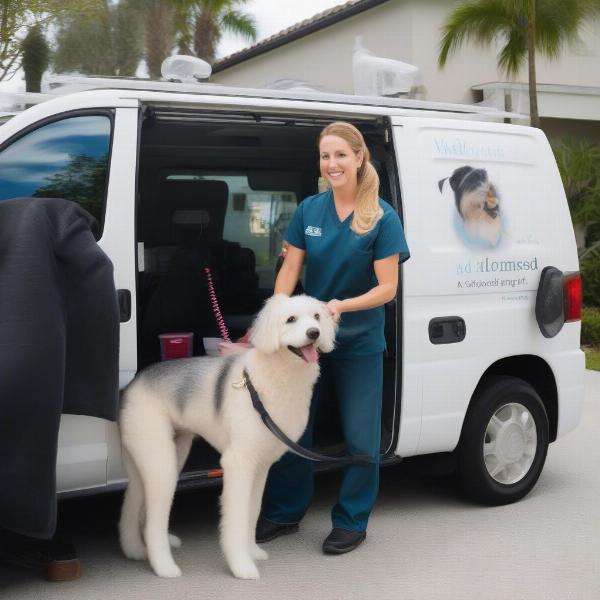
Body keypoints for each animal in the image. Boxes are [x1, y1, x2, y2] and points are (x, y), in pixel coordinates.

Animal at [117, 292, 332, 580]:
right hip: (160, 461)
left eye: (317, 317)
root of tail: (132, 385)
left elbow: (252, 513)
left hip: (154, 456)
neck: (276, 376)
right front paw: (241, 565)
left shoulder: (260, 466)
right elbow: (236, 519)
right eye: (291, 320)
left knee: (132, 505)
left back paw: (134, 550)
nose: (314, 332)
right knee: (154, 520)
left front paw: (252, 552)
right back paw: (163, 566)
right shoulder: (238, 463)